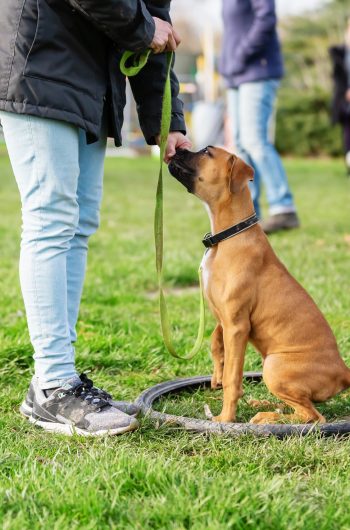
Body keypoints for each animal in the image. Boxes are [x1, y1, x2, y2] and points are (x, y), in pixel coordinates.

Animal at [168, 146, 348, 422]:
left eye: (207, 151)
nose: (177, 148)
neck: (229, 236)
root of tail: (344, 371)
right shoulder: (223, 317)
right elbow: (215, 342)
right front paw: (216, 374)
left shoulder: (237, 325)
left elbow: (233, 378)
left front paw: (225, 419)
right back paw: (264, 405)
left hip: (274, 366)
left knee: (312, 416)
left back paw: (267, 417)